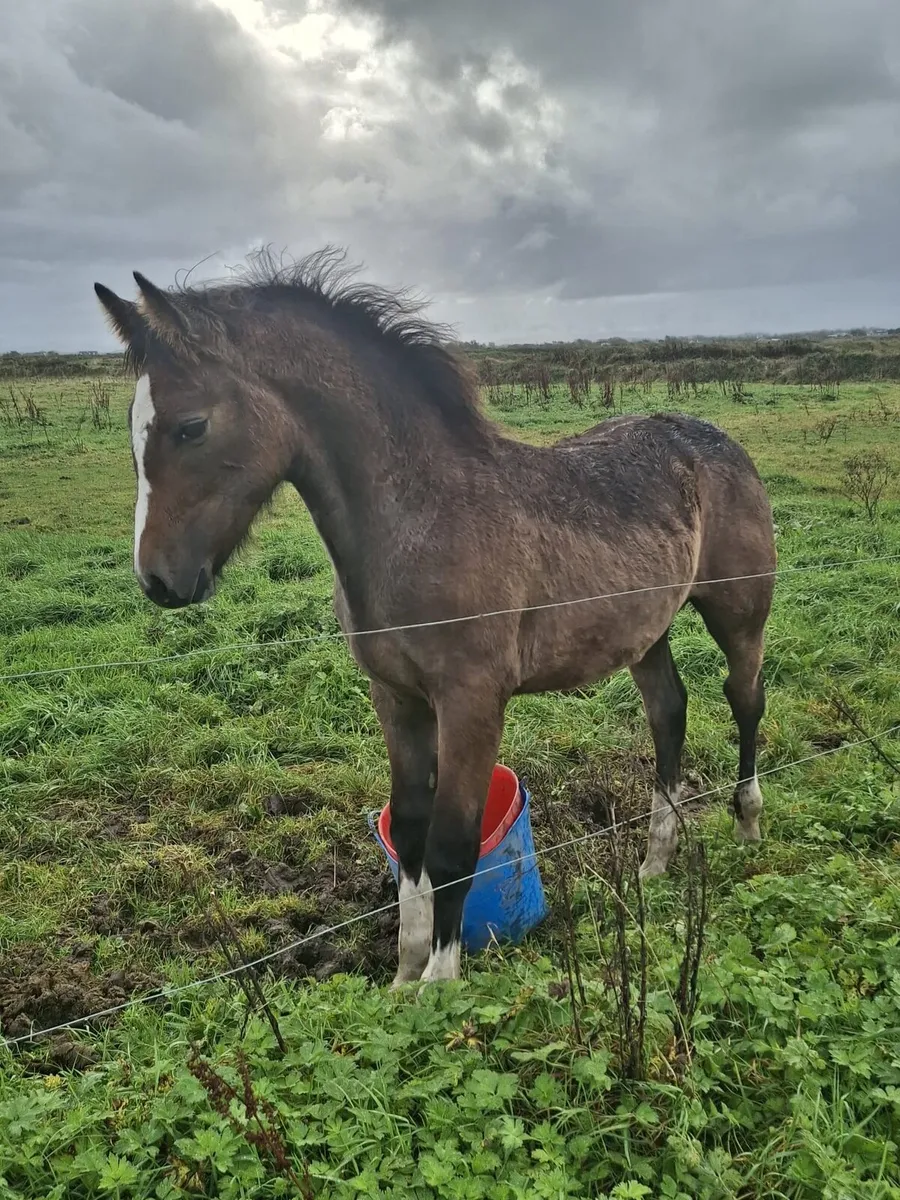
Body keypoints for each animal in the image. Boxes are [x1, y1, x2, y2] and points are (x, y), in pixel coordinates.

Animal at [94, 248, 776, 986]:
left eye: (191, 426)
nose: (158, 580)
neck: (423, 522)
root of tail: (715, 438)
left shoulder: (472, 701)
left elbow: (453, 843)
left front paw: (440, 982)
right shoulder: (396, 698)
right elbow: (411, 834)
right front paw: (404, 970)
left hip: (740, 611)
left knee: (744, 698)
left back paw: (747, 821)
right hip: (644, 632)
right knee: (669, 713)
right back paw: (655, 860)